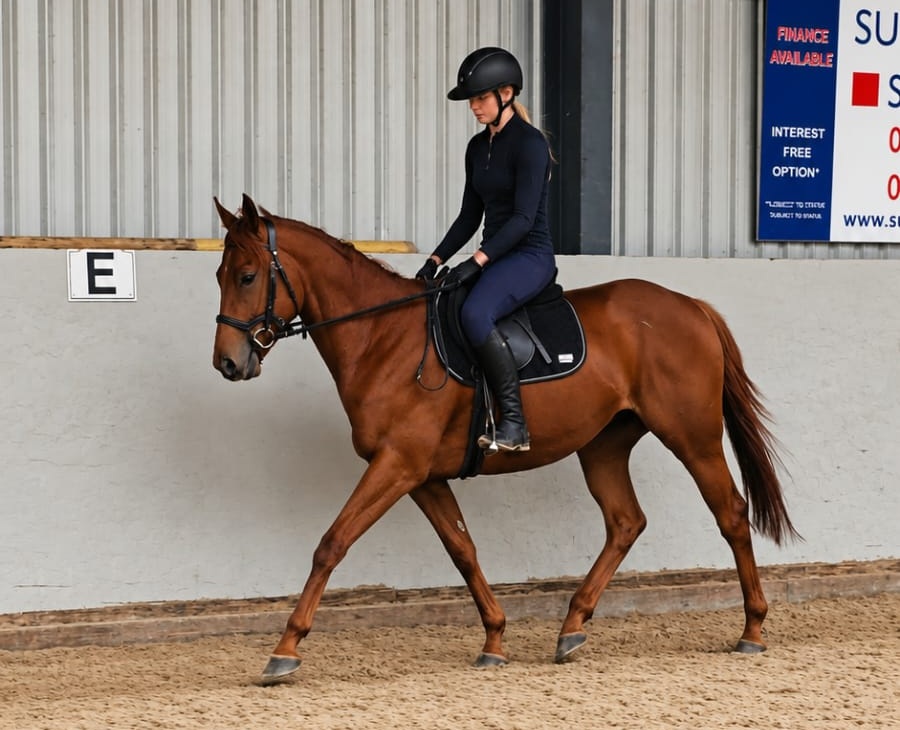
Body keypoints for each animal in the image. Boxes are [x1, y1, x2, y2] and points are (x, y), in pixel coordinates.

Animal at [212, 194, 798, 685]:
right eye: (219, 274)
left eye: (247, 275)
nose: (228, 363)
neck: (384, 337)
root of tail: (691, 306)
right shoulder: (422, 476)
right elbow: (463, 549)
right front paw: (494, 638)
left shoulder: (397, 465)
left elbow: (331, 544)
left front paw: (284, 650)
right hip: (603, 445)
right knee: (625, 522)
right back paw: (571, 628)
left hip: (691, 437)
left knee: (730, 513)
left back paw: (752, 630)